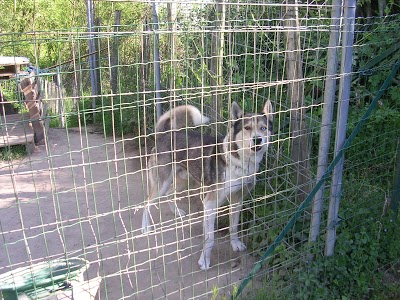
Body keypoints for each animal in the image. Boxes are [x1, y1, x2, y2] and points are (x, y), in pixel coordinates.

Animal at [139, 101, 274, 270]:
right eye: (247, 128)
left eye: (263, 128)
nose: (258, 140)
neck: (240, 162)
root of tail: (165, 134)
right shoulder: (209, 204)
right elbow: (209, 239)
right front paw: (204, 260)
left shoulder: (237, 200)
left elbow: (233, 227)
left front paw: (235, 244)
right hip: (161, 184)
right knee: (146, 203)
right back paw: (145, 227)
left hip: (186, 181)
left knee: (170, 193)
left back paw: (177, 212)